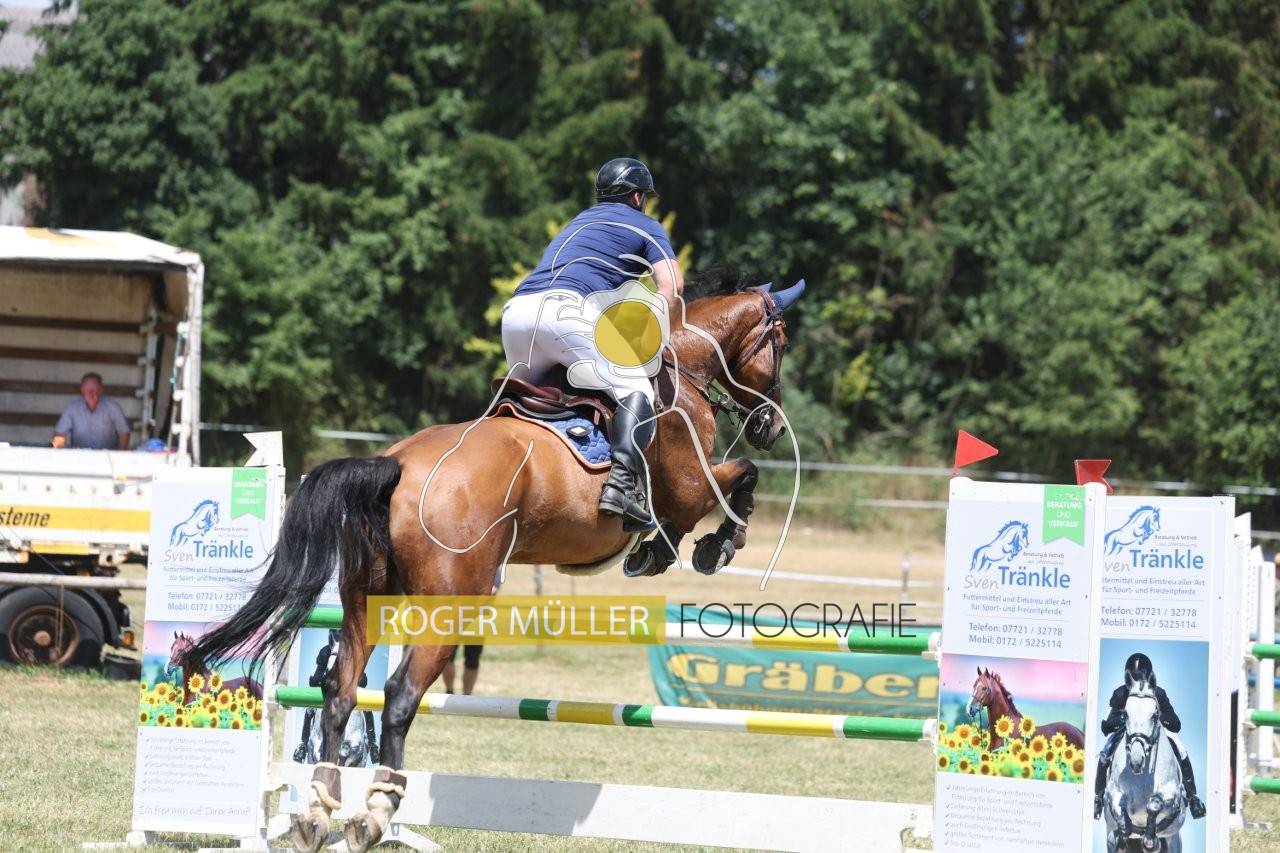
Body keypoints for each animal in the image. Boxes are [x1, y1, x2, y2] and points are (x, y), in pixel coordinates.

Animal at [182, 275, 805, 852]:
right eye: (780, 342)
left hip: (367, 600)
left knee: (340, 691)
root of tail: (397, 466)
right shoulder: (690, 486)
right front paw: (710, 544)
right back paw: (377, 810)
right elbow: (740, 479)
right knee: (401, 694)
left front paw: (663, 548)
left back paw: (317, 811)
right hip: (450, 605)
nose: (772, 425)